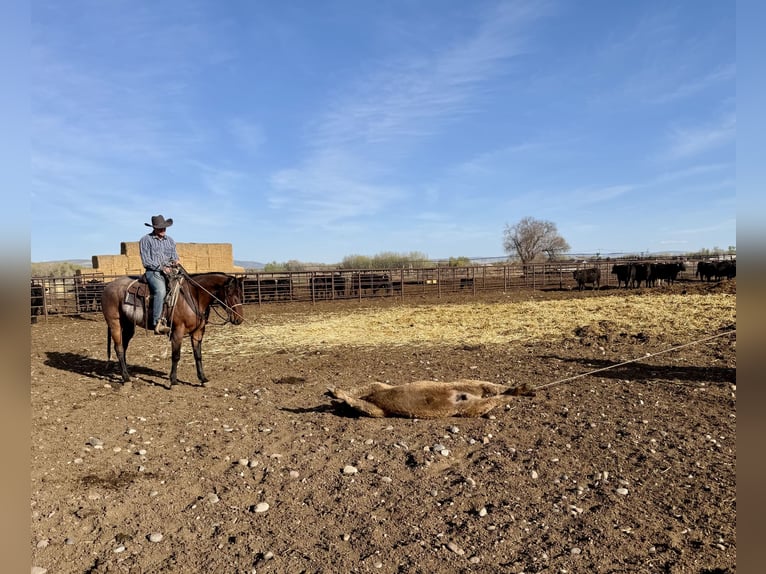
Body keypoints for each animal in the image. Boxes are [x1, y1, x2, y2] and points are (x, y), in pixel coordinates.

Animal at [101, 271, 244, 386]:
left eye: (240, 293)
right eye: (229, 292)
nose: (239, 319)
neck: (193, 297)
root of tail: (108, 286)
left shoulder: (198, 332)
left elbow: (198, 355)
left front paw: (203, 379)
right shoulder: (177, 331)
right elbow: (176, 356)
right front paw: (173, 381)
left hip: (129, 325)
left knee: (123, 347)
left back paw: (125, 373)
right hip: (115, 323)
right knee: (119, 348)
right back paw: (126, 378)